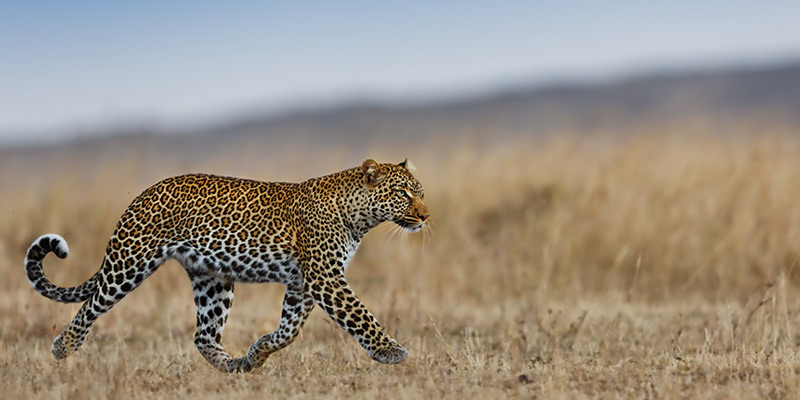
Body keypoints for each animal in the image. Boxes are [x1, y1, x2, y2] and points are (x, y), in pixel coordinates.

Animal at [24, 159, 429, 372]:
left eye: (420, 192)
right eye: (402, 193)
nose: (426, 215)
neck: (359, 217)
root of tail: (140, 197)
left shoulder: (303, 283)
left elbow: (290, 329)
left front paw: (259, 350)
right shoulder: (325, 278)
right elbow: (361, 315)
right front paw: (391, 351)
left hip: (212, 279)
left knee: (203, 335)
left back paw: (236, 365)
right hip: (129, 263)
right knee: (90, 305)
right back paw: (63, 347)